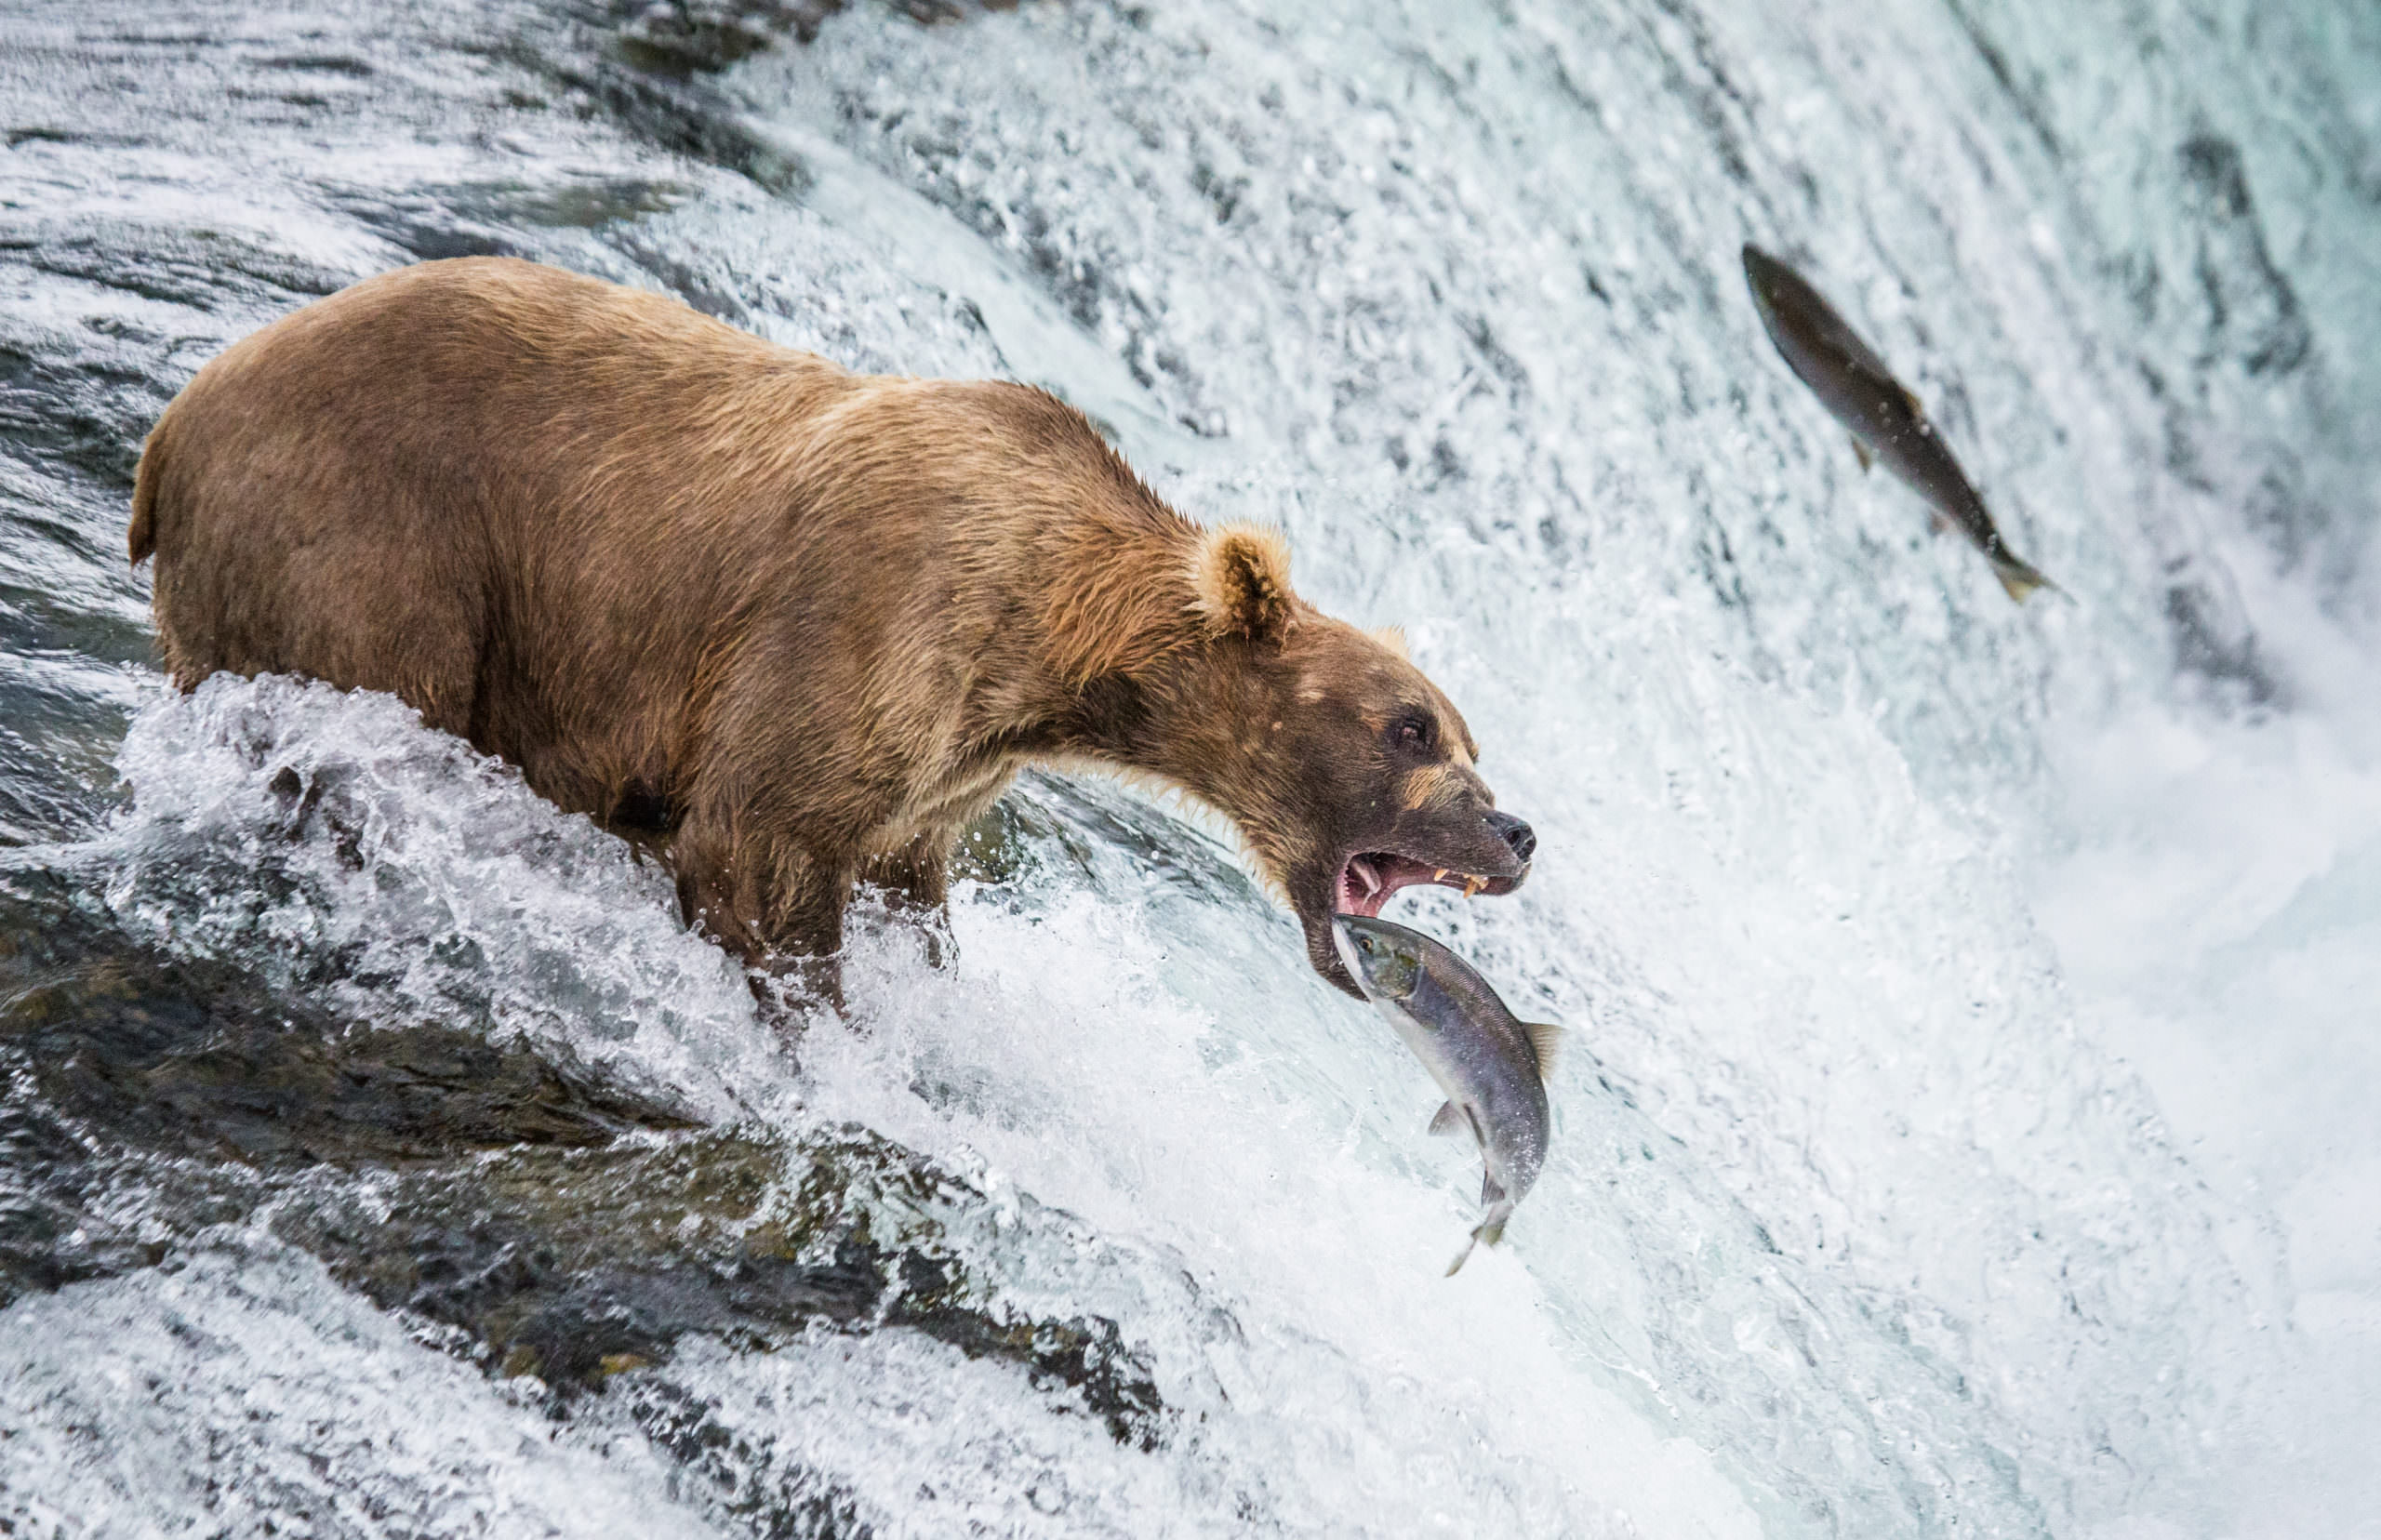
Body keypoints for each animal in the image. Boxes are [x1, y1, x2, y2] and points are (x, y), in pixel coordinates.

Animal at [130, 257, 1533, 994]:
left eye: (1467, 733)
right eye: (1413, 728)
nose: (1516, 832)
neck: (1046, 640)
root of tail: (174, 422)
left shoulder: (946, 772)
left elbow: (908, 887)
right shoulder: (867, 625)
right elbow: (762, 845)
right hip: (372, 544)